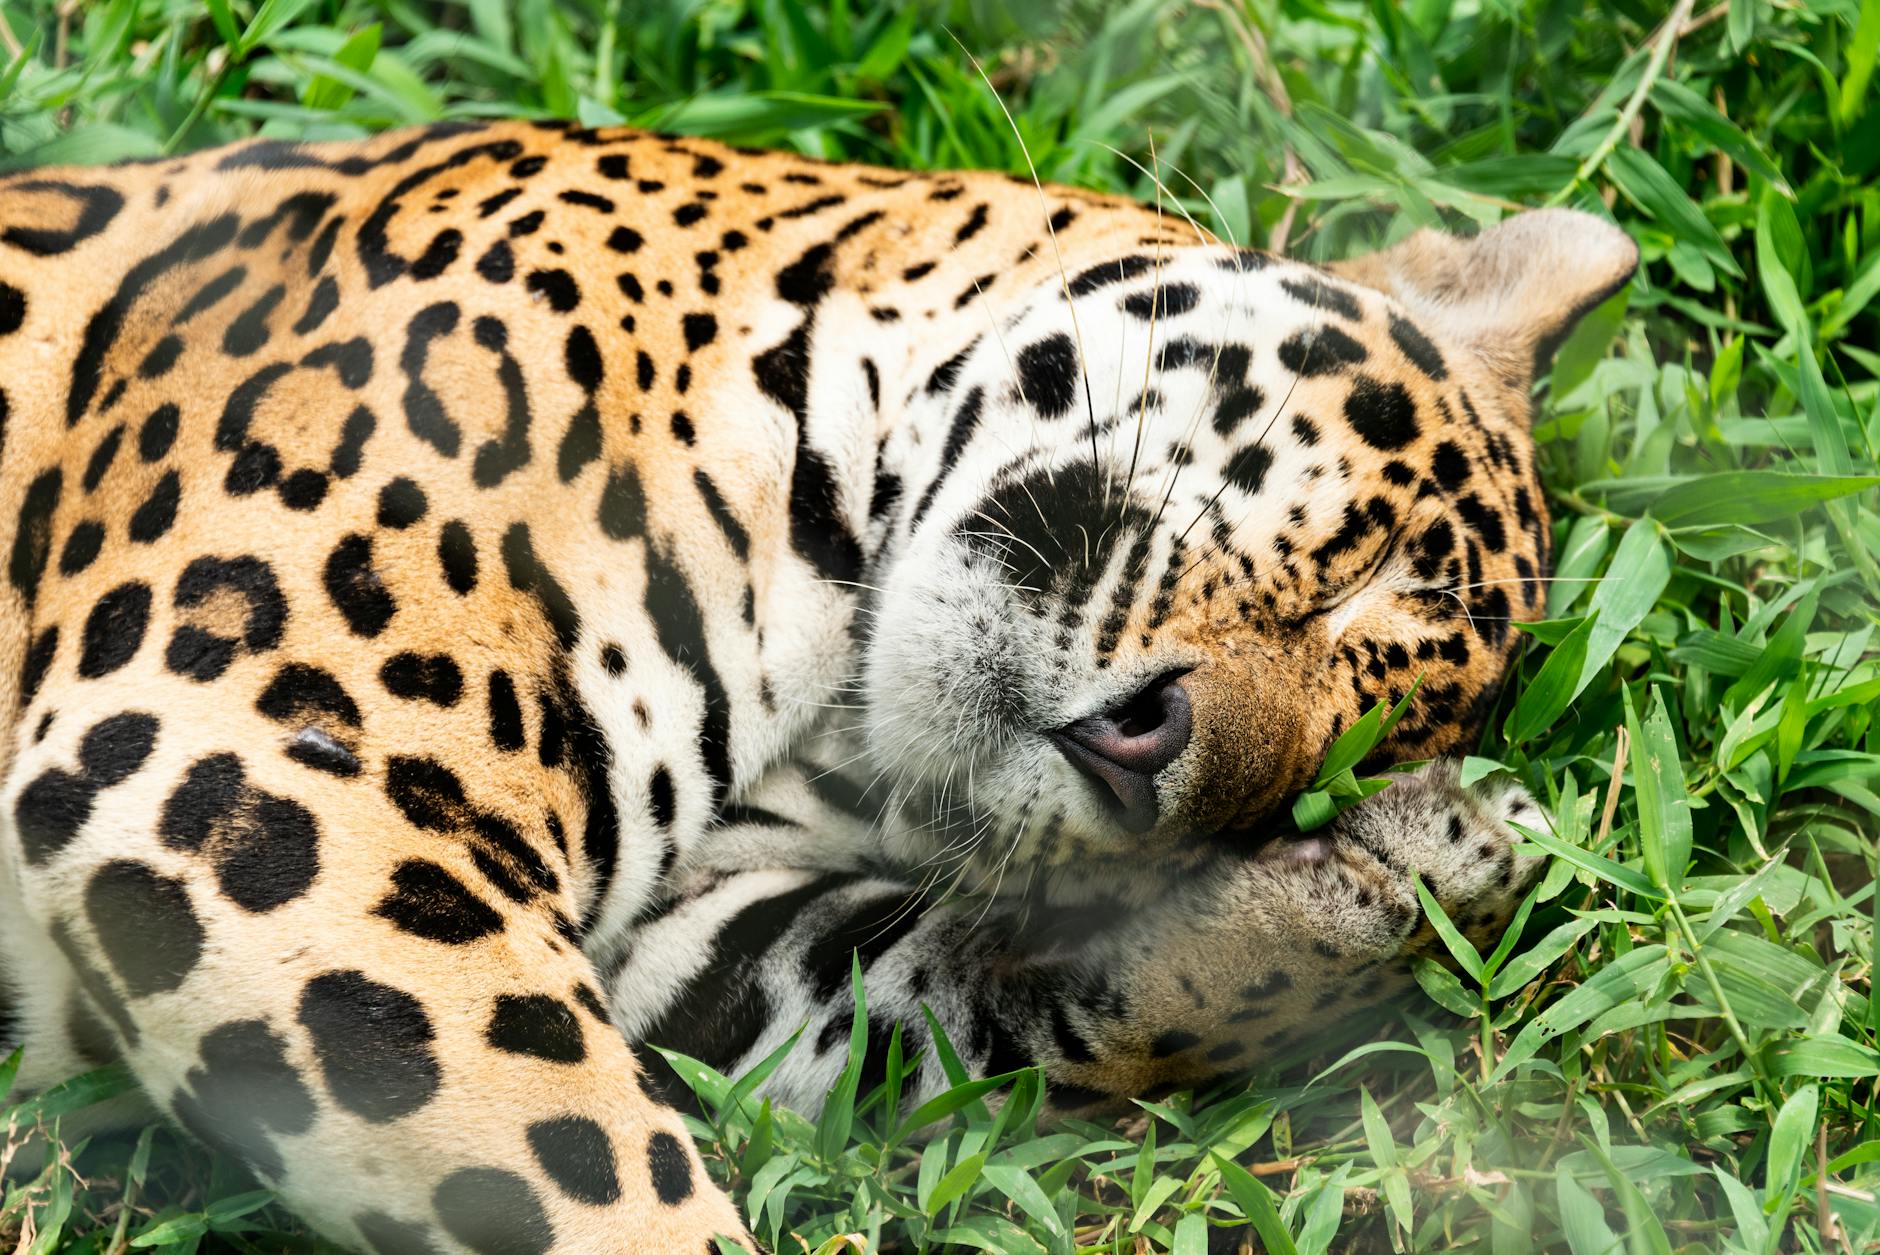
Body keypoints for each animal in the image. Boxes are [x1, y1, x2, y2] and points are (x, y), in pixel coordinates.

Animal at [0, 119, 1635, 1254]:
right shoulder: (246, 755)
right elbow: (587, 1167)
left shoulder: (679, 940)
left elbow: (949, 1004)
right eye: (1360, 567)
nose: (1143, 758)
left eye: (1304, 788)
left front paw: (1403, 877)